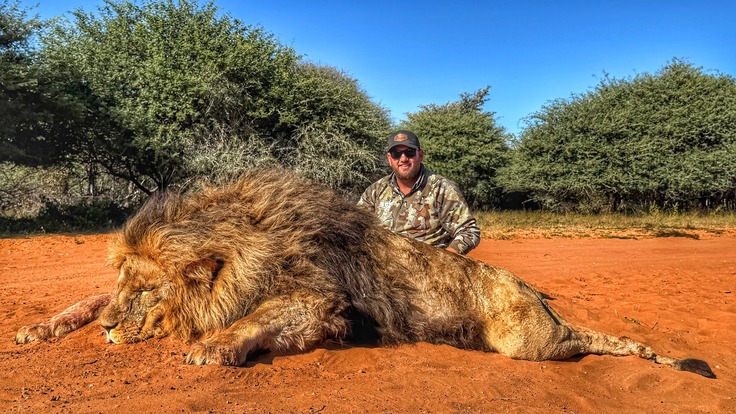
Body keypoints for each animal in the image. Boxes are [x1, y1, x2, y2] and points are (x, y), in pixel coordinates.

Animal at [15, 169, 715, 378]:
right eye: (124, 285)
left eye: (146, 291)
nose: (110, 330)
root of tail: (534, 294)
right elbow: (79, 300)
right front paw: (37, 330)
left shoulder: (322, 305)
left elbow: (257, 318)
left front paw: (211, 348)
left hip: (523, 338)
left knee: (584, 338)